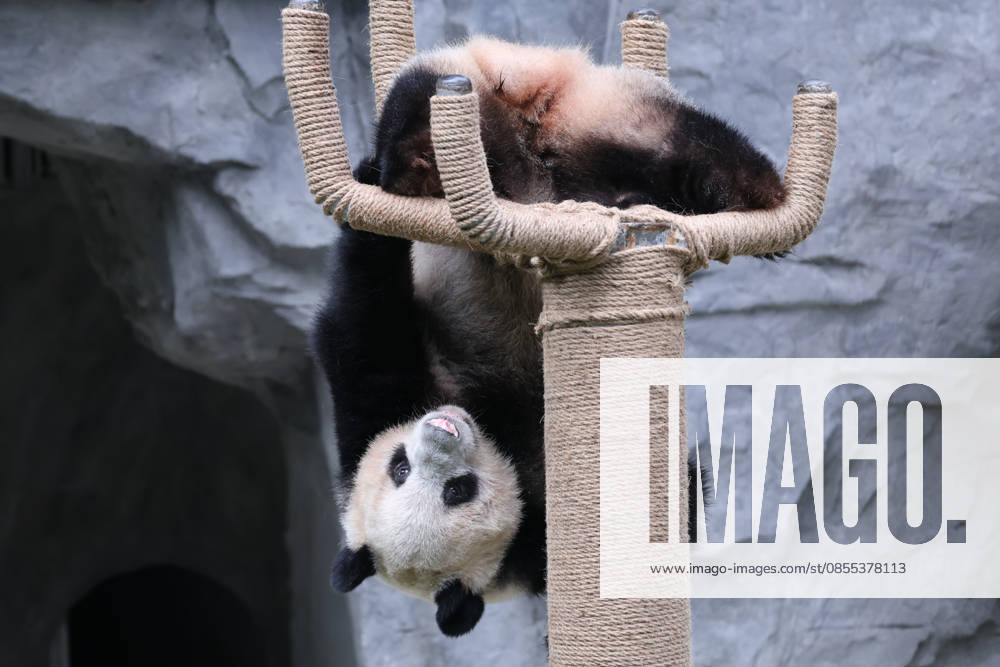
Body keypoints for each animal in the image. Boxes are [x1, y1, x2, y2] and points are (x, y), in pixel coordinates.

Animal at [312, 37, 783, 636]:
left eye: (402, 467)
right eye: (453, 490)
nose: (443, 428)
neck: (498, 437)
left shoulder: (370, 405)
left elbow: (359, 320)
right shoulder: (533, 548)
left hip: (510, 89)